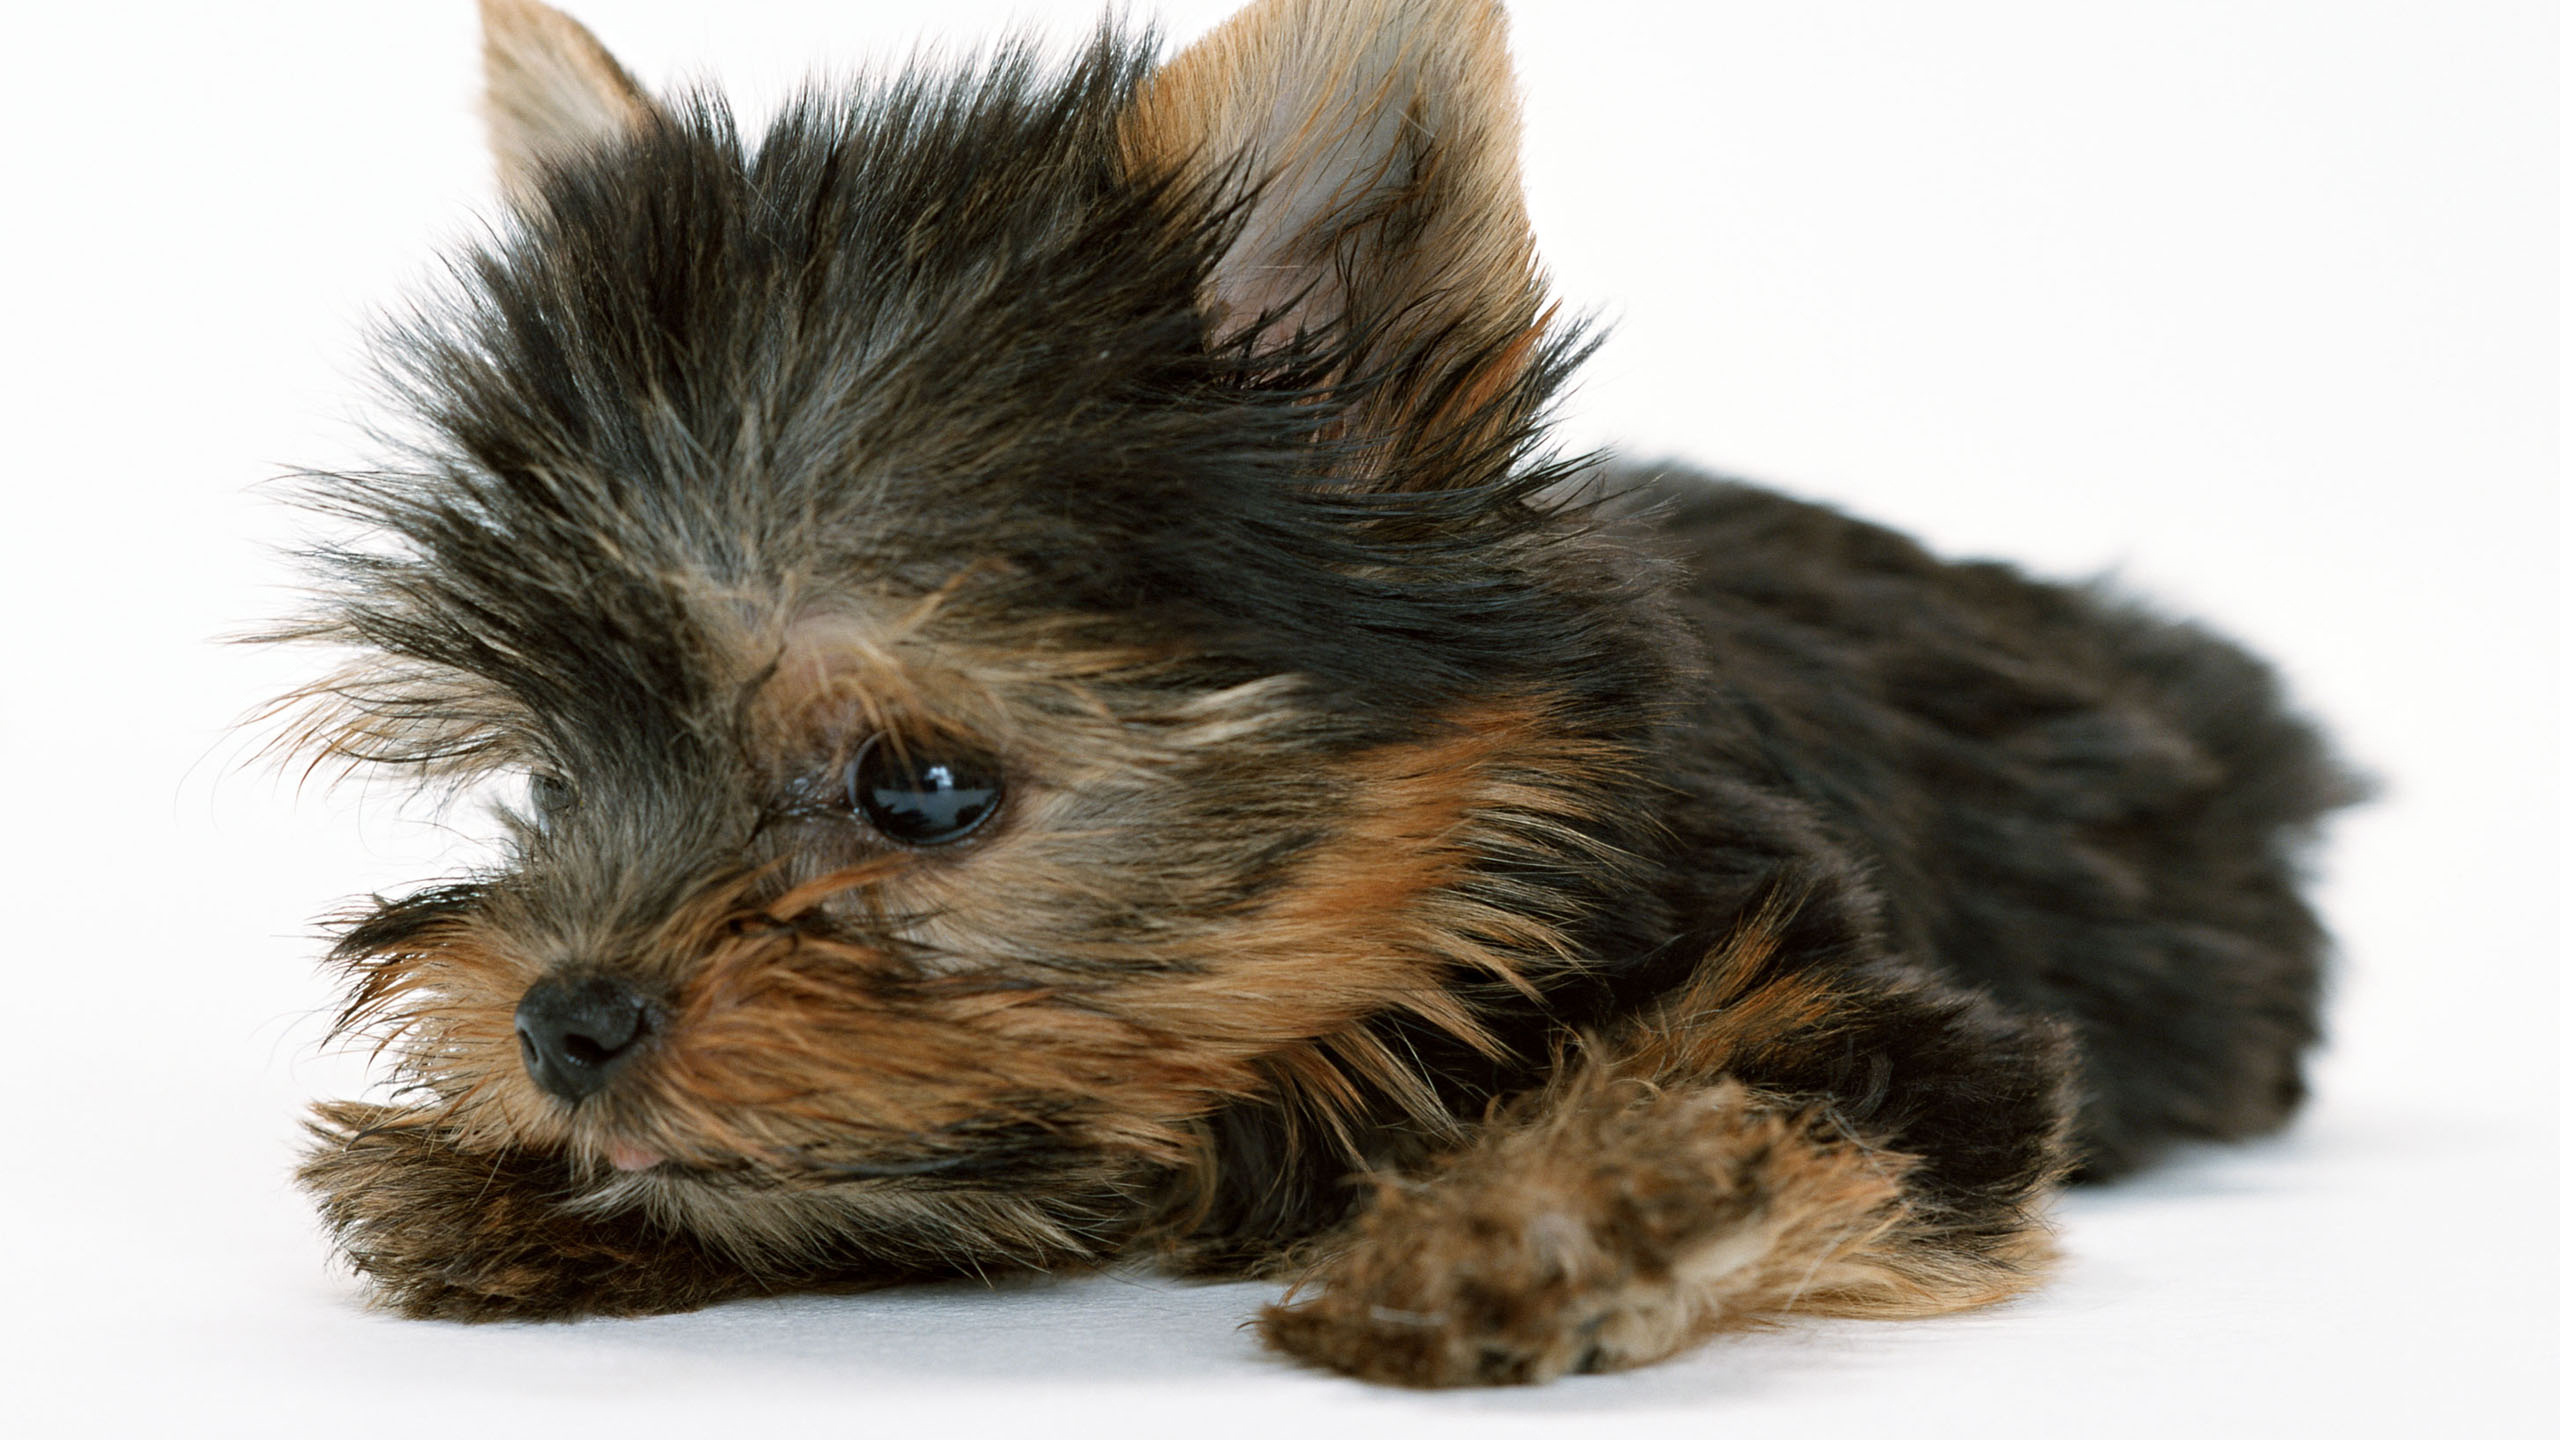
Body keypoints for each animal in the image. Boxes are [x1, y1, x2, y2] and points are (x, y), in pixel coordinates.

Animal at [285, 2, 2355, 1393]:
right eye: (553, 773)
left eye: (923, 790)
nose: (564, 1024)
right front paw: (505, 1188)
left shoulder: (1894, 1034)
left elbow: (1780, 1107)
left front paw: (1543, 1215)